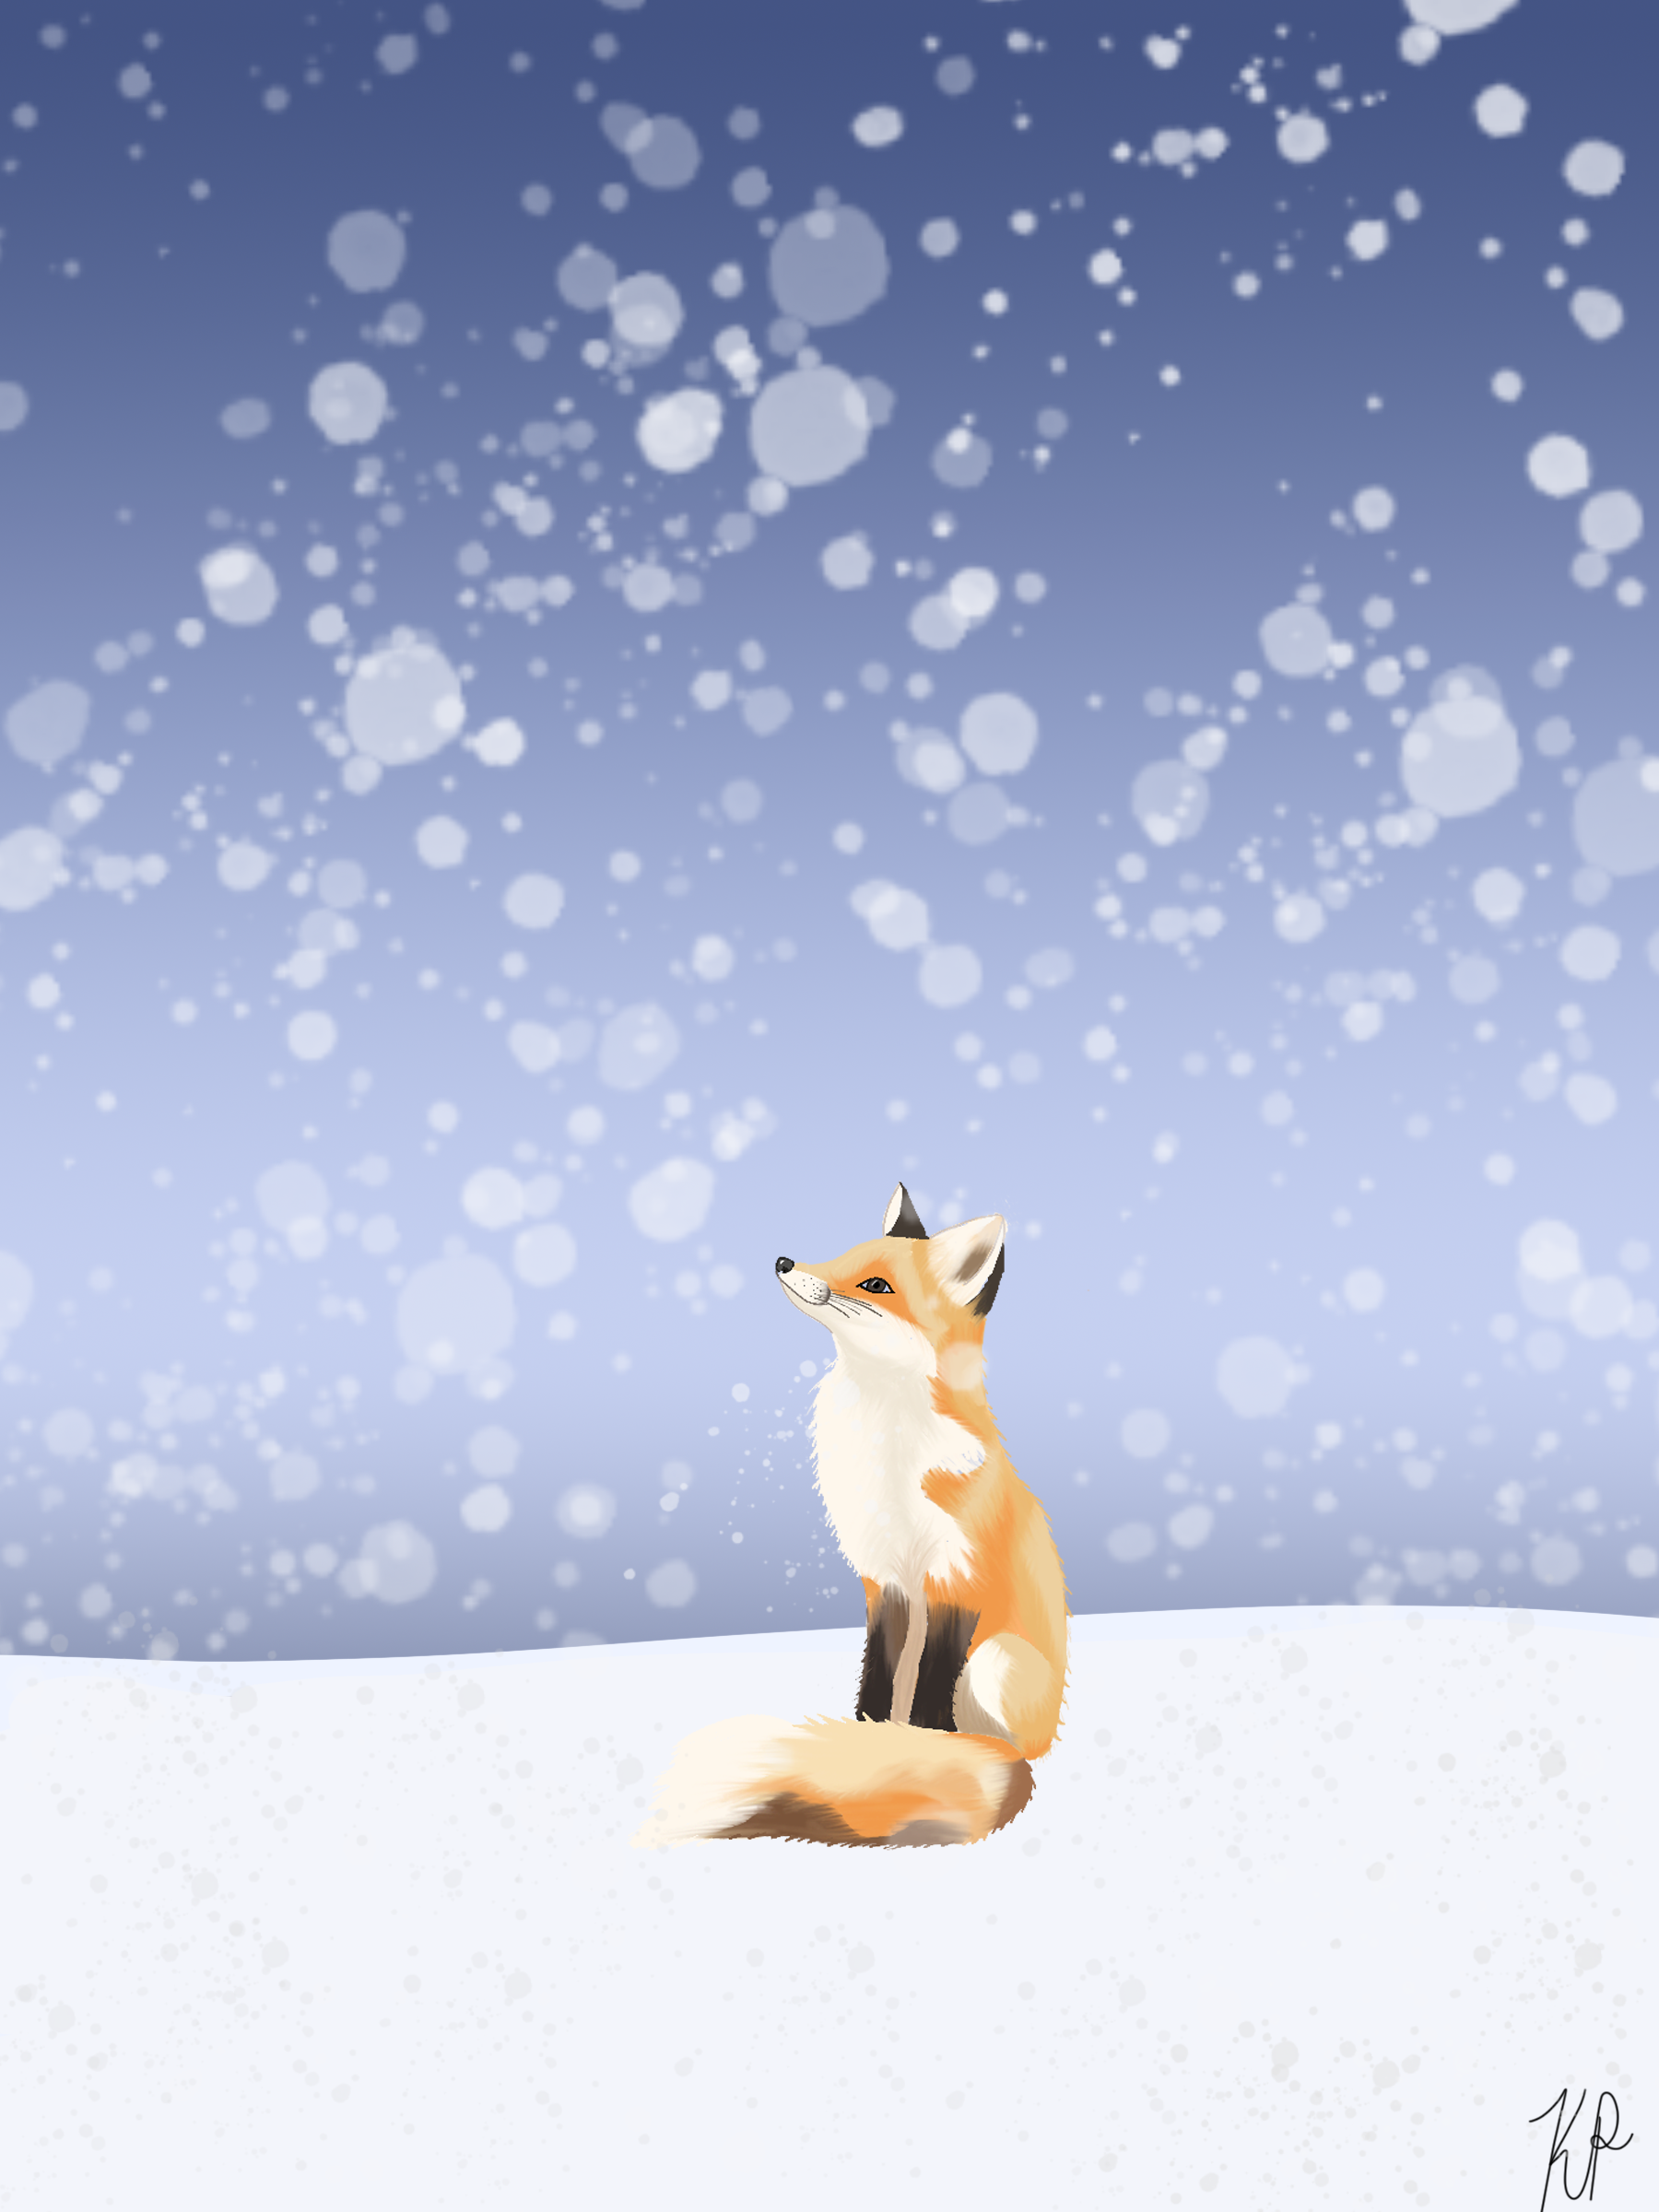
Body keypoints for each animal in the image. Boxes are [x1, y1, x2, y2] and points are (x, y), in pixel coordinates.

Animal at [632, 1183, 1069, 1849]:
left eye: (876, 1285)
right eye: (842, 1253)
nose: (784, 1261)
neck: (886, 1446)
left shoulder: (956, 1577)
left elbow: (928, 1704)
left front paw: (916, 1750)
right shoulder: (883, 1577)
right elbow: (878, 1683)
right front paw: (869, 1742)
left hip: (997, 1662)